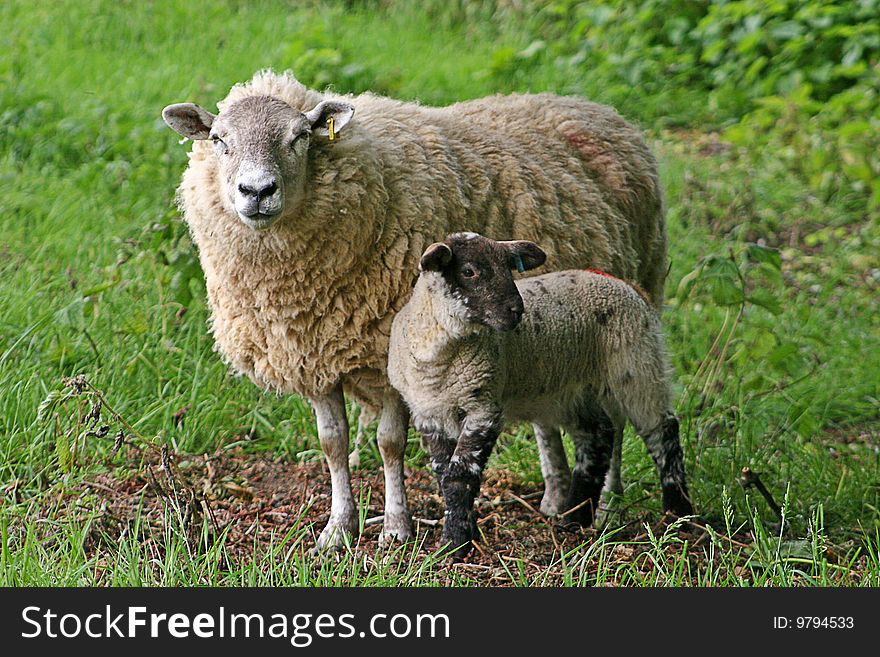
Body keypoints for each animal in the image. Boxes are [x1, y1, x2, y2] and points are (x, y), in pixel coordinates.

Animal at [160, 68, 668, 548]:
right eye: (219, 139)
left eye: (300, 137)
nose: (257, 191)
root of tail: (597, 108)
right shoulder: (314, 355)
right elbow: (332, 444)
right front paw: (338, 529)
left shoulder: (388, 353)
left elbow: (390, 443)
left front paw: (396, 528)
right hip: (552, 346)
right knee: (548, 417)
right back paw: (556, 498)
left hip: (626, 320)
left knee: (619, 414)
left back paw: (607, 506)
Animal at [388, 233, 692, 556]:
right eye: (469, 271)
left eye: (509, 267)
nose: (515, 310)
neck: (441, 357)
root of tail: (629, 286)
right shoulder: (429, 414)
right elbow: (443, 473)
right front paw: (463, 532)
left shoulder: (484, 407)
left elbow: (461, 475)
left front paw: (454, 544)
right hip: (573, 389)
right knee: (598, 437)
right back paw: (575, 518)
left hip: (636, 367)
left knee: (663, 433)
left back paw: (678, 514)